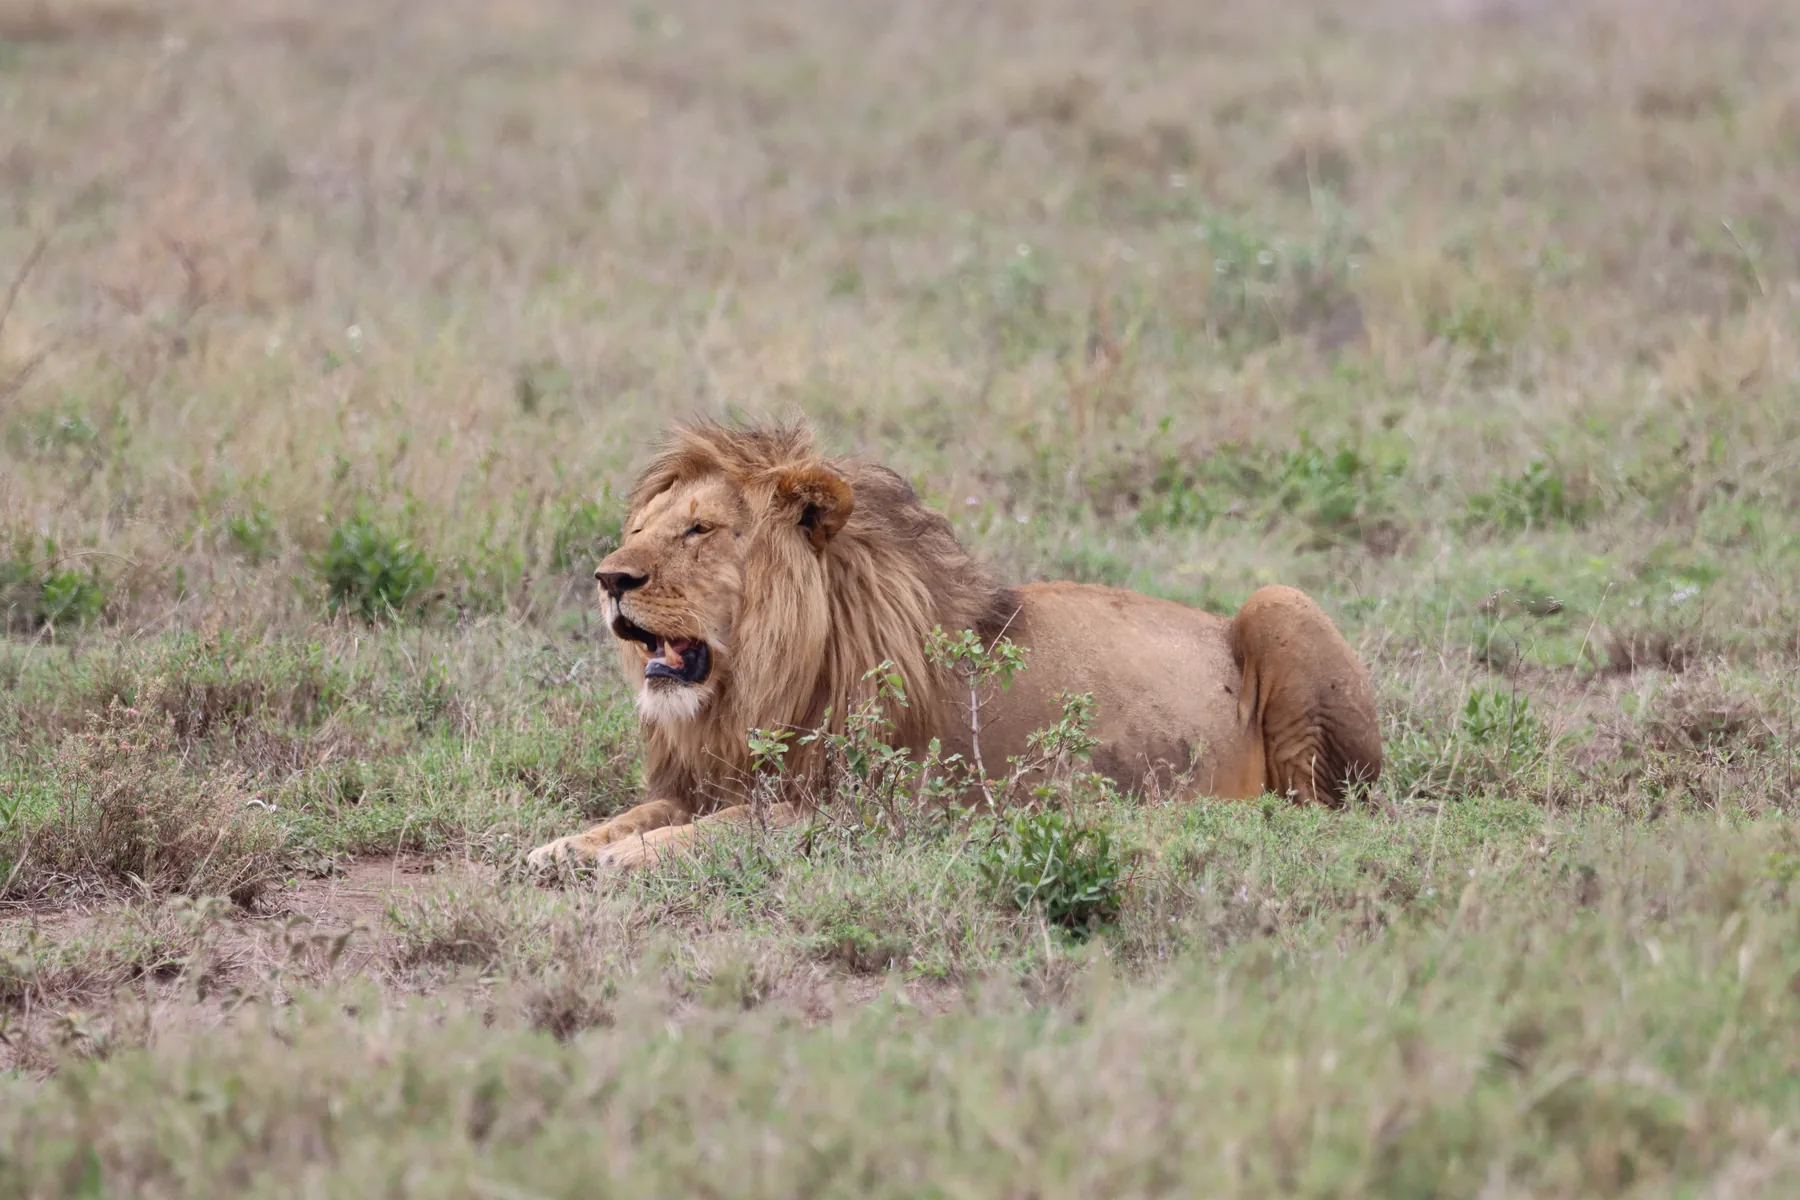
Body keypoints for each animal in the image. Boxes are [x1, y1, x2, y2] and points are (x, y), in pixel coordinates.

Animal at [526, 420, 1382, 872]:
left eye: (698, 530)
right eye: (641, 529)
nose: (608, 578)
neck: (754, 687)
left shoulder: (859, 808)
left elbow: (724, 828)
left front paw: (626, 858)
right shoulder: (711, 776)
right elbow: (638, 811)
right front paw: (563, 847)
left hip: (1282, 603)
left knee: (1319, 807)